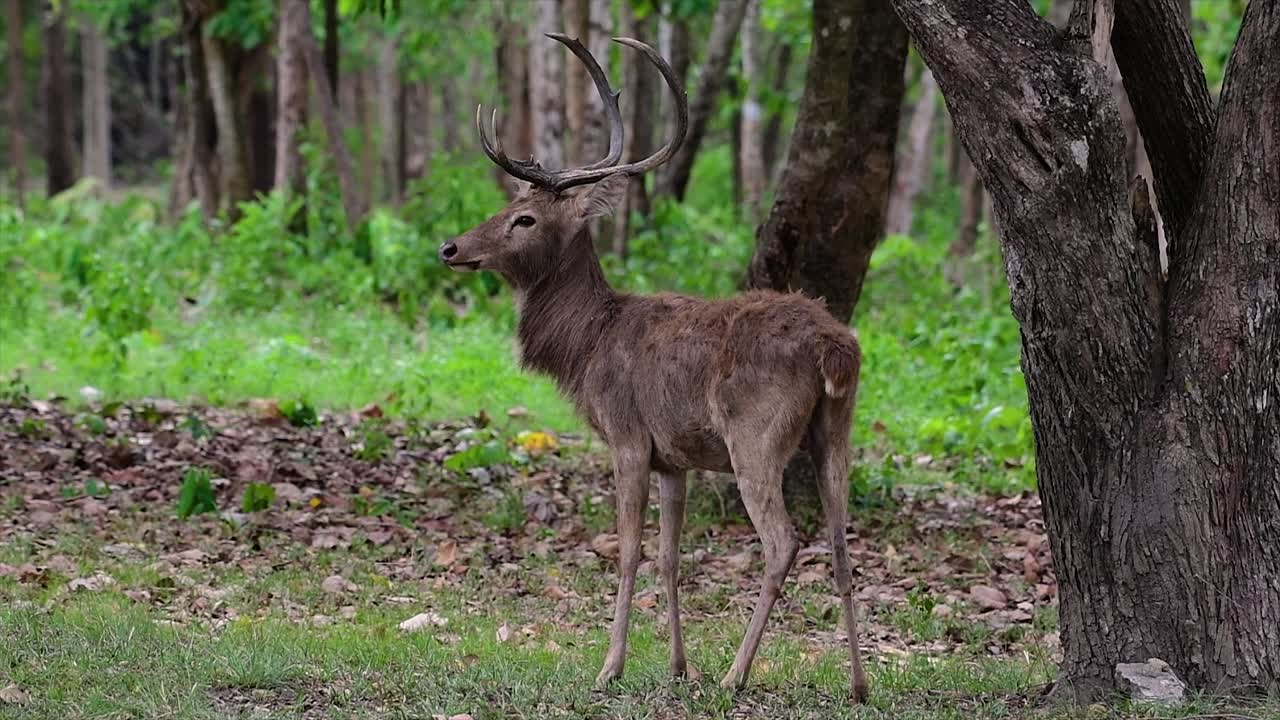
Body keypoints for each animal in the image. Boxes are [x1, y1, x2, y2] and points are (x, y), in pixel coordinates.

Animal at [439, 33, 869, 701]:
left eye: (524, 219)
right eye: (511, 203)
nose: (451, 247)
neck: (586, 347)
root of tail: (835, 348)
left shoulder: (628, 436)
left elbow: (627, 552)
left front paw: (610, 666)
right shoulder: (675, 457)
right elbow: (670, 557)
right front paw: (676, 666)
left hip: (756, 434)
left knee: (783, 542)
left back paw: (736, 675)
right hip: (836, 428)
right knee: (843, 542)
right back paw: (858, 684)